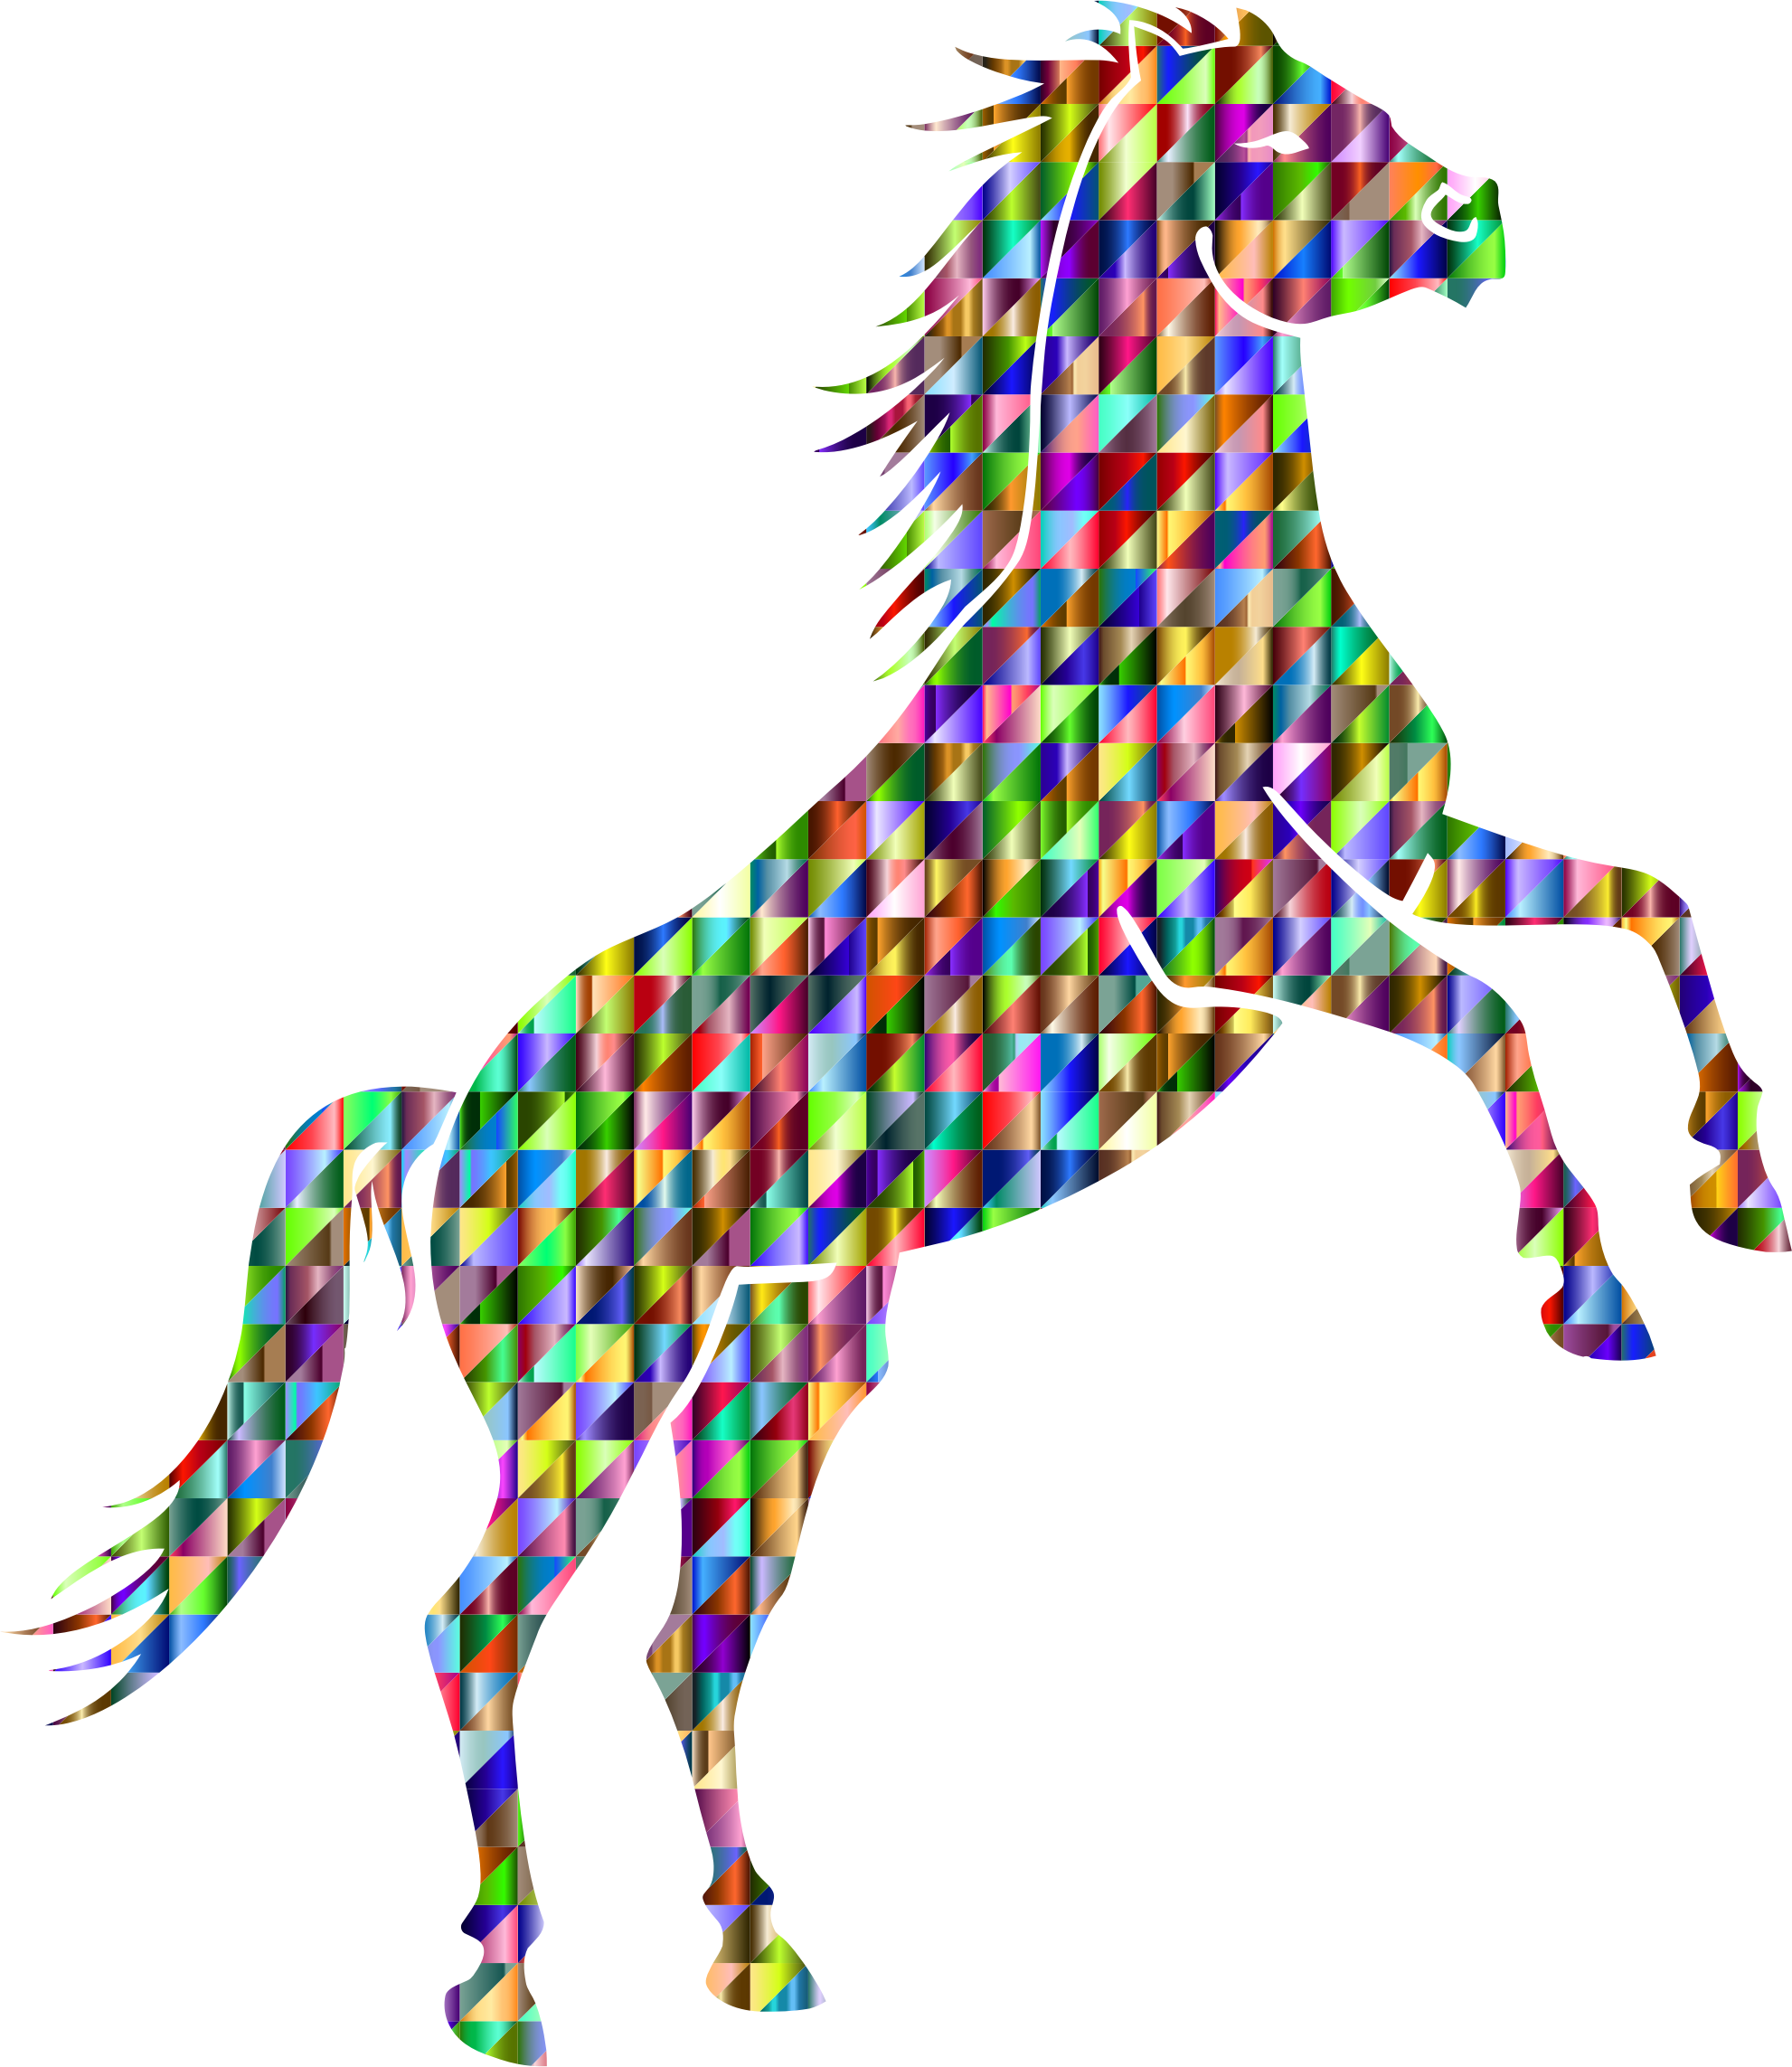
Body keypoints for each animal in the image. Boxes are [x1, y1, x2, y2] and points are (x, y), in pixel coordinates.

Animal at [11, 7, 1781, 2058]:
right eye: (1274, 139)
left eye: (1361, 101)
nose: (1473, 217)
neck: (1171, 612)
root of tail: (454, 1120)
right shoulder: (1243, 932)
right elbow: (1490, 1021)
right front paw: (1595, 1299)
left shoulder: (1413, 843)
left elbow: (1649, 904)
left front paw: (1739, 1201)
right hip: (590, 1388)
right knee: (477, 1627)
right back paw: (506, 1999)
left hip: (785, 1368)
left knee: (685, 1644)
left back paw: (758, 1959)